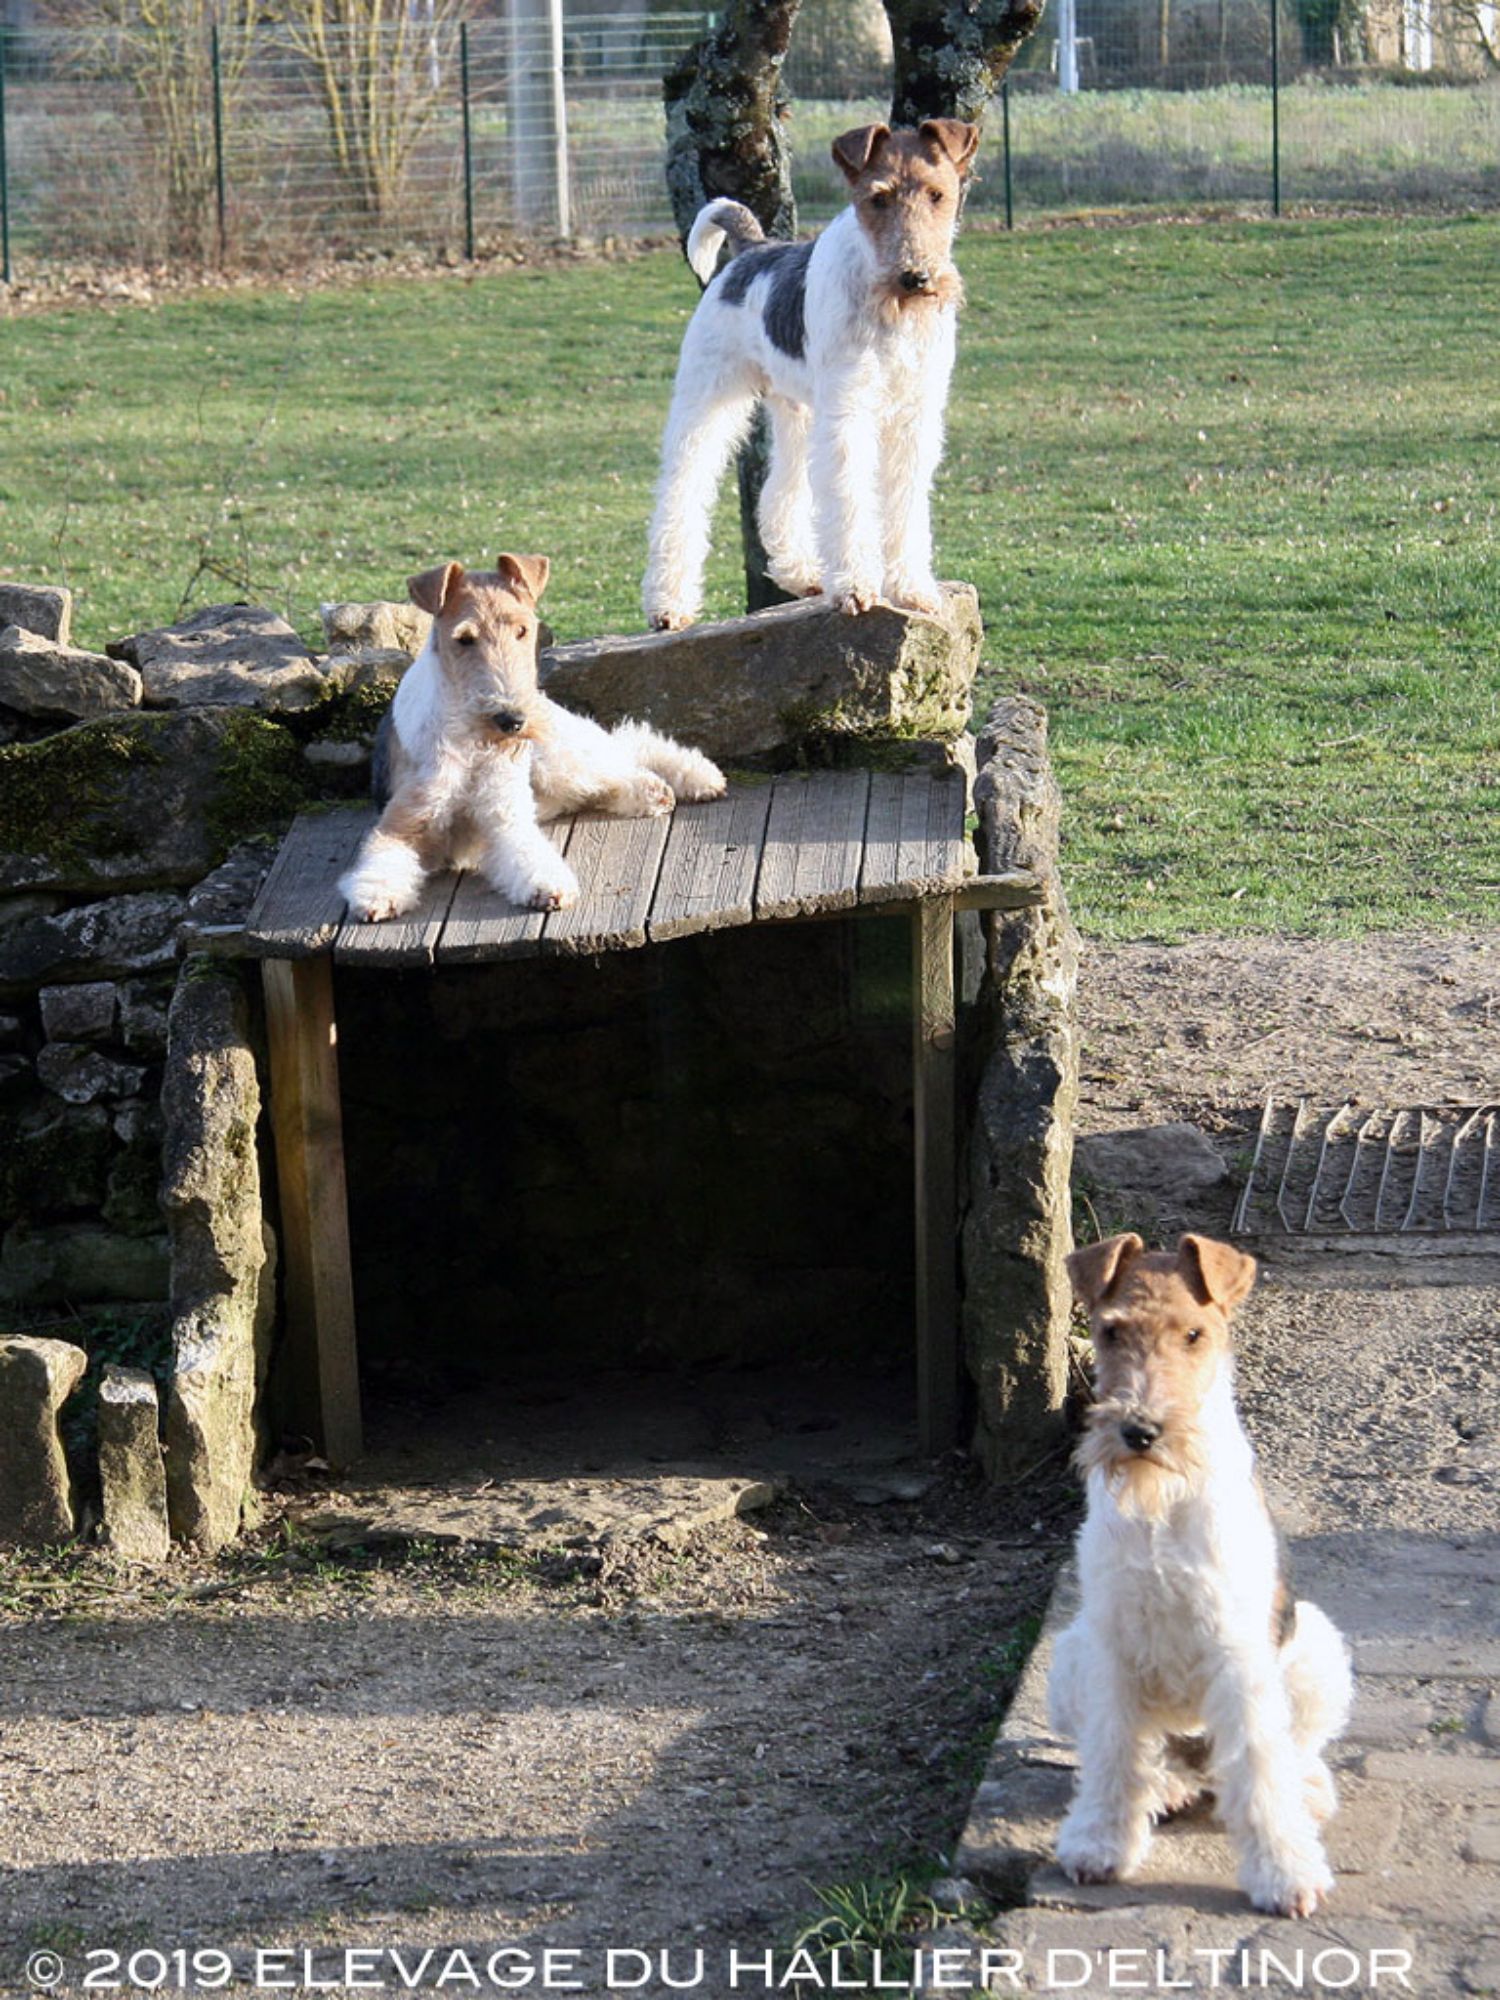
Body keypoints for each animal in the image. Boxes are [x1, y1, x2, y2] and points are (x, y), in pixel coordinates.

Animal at [339, 555, 726, 921]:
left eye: (522, 630)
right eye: (464, 639)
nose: (511, 720)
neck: (470, 741)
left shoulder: (505, 819)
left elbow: (528, 853)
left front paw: (550, 887)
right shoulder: (402, 822)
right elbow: (383, 858)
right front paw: (377, 897)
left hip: (557, 755)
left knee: (627, 745)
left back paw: (696, 779)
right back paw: (657, 792)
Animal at [642, 118, 979, 633]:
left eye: (937, 194)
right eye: (878, 197)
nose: (915, 277)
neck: (892, 313)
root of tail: (753, 249)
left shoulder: (914, 418)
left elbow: (904, 506)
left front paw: (913, 590)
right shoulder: (849, 413)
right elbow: (850, 500)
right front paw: (857, 589)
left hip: (797, 409)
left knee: (778, 494)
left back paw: (801, 574)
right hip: (709, 397)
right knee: (682, 491)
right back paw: (668, 605)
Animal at [1047, 1231, 1353, 1919]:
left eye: (1193, 1333)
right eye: (1109, 1330)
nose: (1140, 1431)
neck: (1161, 1500)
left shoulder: (1237, 1649)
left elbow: (1261, 1767)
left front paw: (1285, 1874)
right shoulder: (1111, 1641)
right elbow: (1112, 1751)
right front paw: (1098, 1842)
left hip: (1317, 1649)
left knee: (1293, 1751)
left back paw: (1308, 1790)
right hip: (1069, 1654)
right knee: (1148, 1754)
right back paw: (1164, 1787)